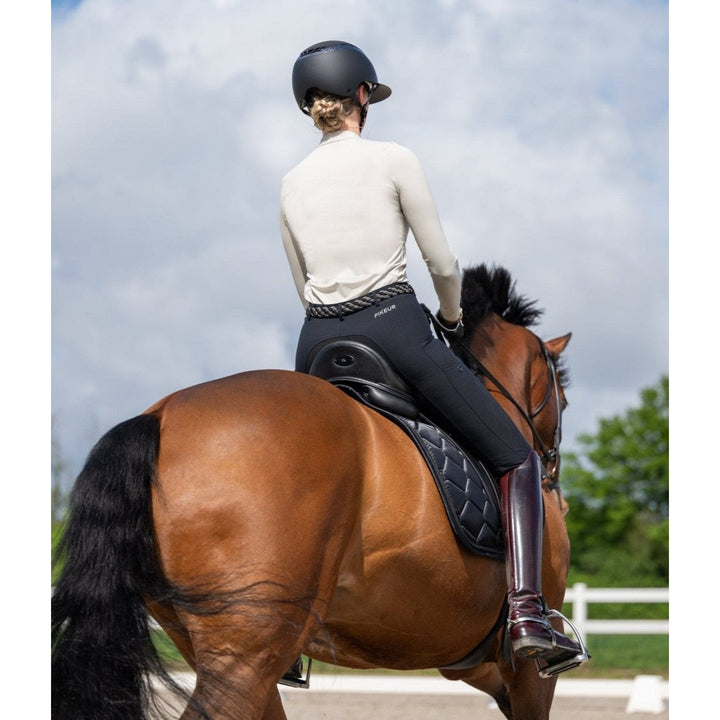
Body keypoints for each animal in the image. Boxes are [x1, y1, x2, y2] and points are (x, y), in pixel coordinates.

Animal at [52, 263, 576, 720]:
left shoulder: (469, 661)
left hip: (222, 644)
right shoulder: (527, 674)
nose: (556, 486)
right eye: (564, 396)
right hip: (248, 648)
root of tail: (160, 418)